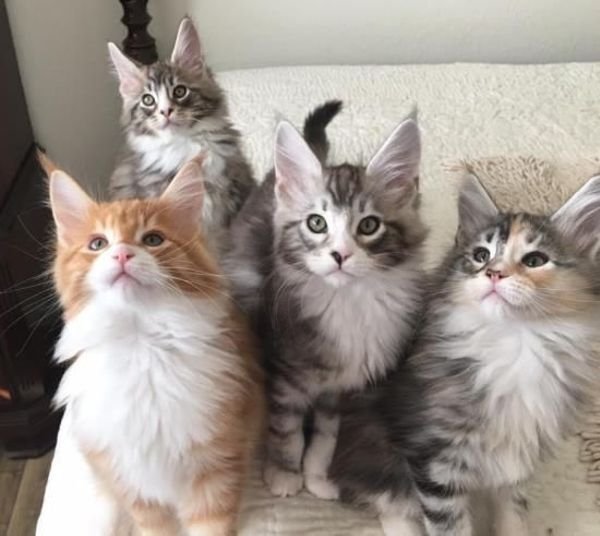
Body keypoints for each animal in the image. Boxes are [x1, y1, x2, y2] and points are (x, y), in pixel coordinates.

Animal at [47, 159, 262, 536]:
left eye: (153, 239)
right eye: (98, 243)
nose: (121, 254)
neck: (141, 344)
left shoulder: (216, 466)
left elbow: (211, 526)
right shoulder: (132, 484)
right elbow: (154, 527)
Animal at [227, 103, 428, 498]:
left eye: (369, 226)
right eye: (316, 223)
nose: (340, 255)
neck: (348, 300)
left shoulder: (342, 388)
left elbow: (326, 435)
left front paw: (318, 475)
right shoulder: (284, 375)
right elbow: (286, 432)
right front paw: (284, 474)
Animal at [328, 174, 600, 532]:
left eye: (535, 260)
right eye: (481, 255)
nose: (494, 273)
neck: (516, 344)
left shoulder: (517, 460)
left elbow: (513, 516)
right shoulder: (435, 461)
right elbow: (449, 526)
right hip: (372, 451)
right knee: (384, 499)